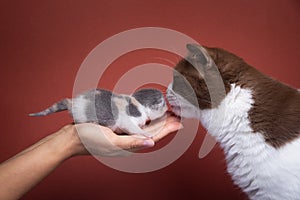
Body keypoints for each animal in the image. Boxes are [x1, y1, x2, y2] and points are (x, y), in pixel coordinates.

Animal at [29, 88, 168, 137]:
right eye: (163, 104)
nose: (167, 108)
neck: (137, 102)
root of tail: (73, 102)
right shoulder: (126, 120)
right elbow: (132, 127)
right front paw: (146, 133)